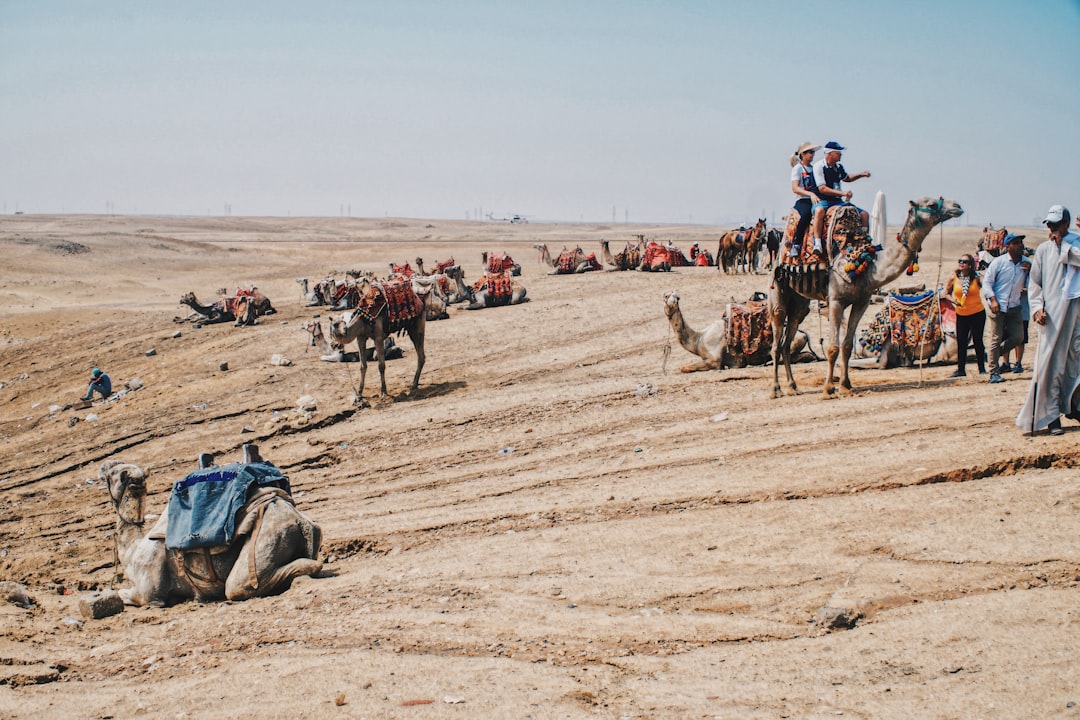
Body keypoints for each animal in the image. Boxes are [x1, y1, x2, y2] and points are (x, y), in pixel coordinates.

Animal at [104, 444, 324, 608]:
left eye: (112, 473)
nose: (103, 467)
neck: (133, 550)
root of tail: (298, 520)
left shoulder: (150, 594)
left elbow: (125, 594)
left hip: (266, 540)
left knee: (238, 585)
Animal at [660, 291, 812, 371]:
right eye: (666, 296)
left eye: (675, 298)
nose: (672, 299)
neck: (699, 339)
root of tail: (804, 334)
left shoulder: (714, 361)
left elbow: (684, 367)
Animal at [773, 197, 967, 399]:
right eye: (931, 204)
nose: (957, 207)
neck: (864, 265)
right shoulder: (835, 301)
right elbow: (833, 347)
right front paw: (828, 389)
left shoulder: (861, 302)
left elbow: (847, 345)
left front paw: (846, 385)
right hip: (777, 284)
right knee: (776, 339)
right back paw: (776, 389)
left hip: (800, 302)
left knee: (788, 337)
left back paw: (793, 387)